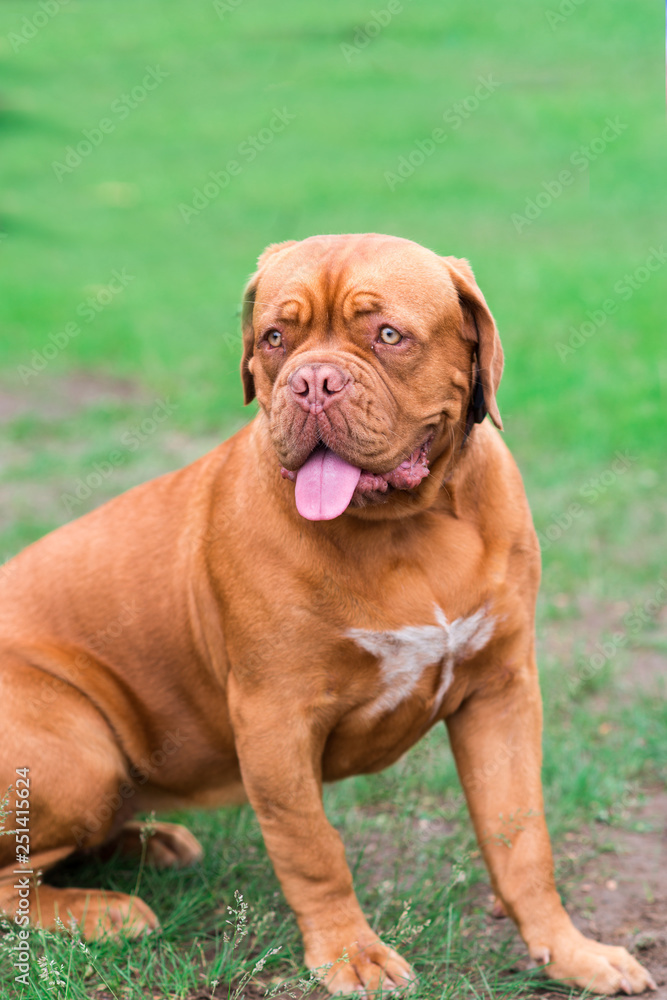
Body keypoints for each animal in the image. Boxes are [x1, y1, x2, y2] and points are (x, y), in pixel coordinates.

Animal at [0, 236, 656, 992]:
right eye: (274, 338)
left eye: (388, 335)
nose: (313, 382)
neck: (408, 527)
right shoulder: (275, 720)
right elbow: (312, 846)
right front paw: (351, 954)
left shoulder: (502, 692)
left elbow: (520, 838)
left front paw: (572, 951)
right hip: (80, 752)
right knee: (14, 877)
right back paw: (104, 911)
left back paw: (153, 842)